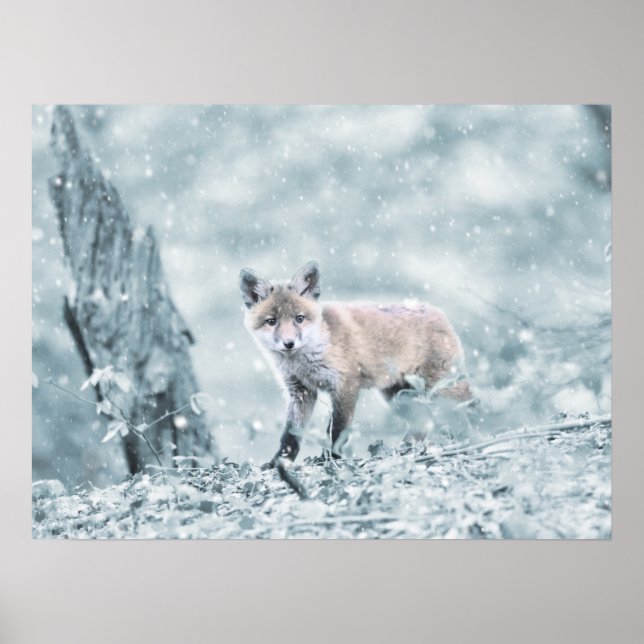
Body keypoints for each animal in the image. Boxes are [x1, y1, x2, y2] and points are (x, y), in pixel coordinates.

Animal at [239, 261, 472, 466]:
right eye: (272, 321)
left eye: (299, 318)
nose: (289, 343)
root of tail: (439, 313)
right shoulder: (301, 392)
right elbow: (290, 436)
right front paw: (278, 463)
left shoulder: (345, 384)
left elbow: (337, 430)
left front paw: (331, 459)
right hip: (399, 397)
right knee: (423, 421)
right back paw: (405, 450)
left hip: (440, 391)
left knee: (464, 411)